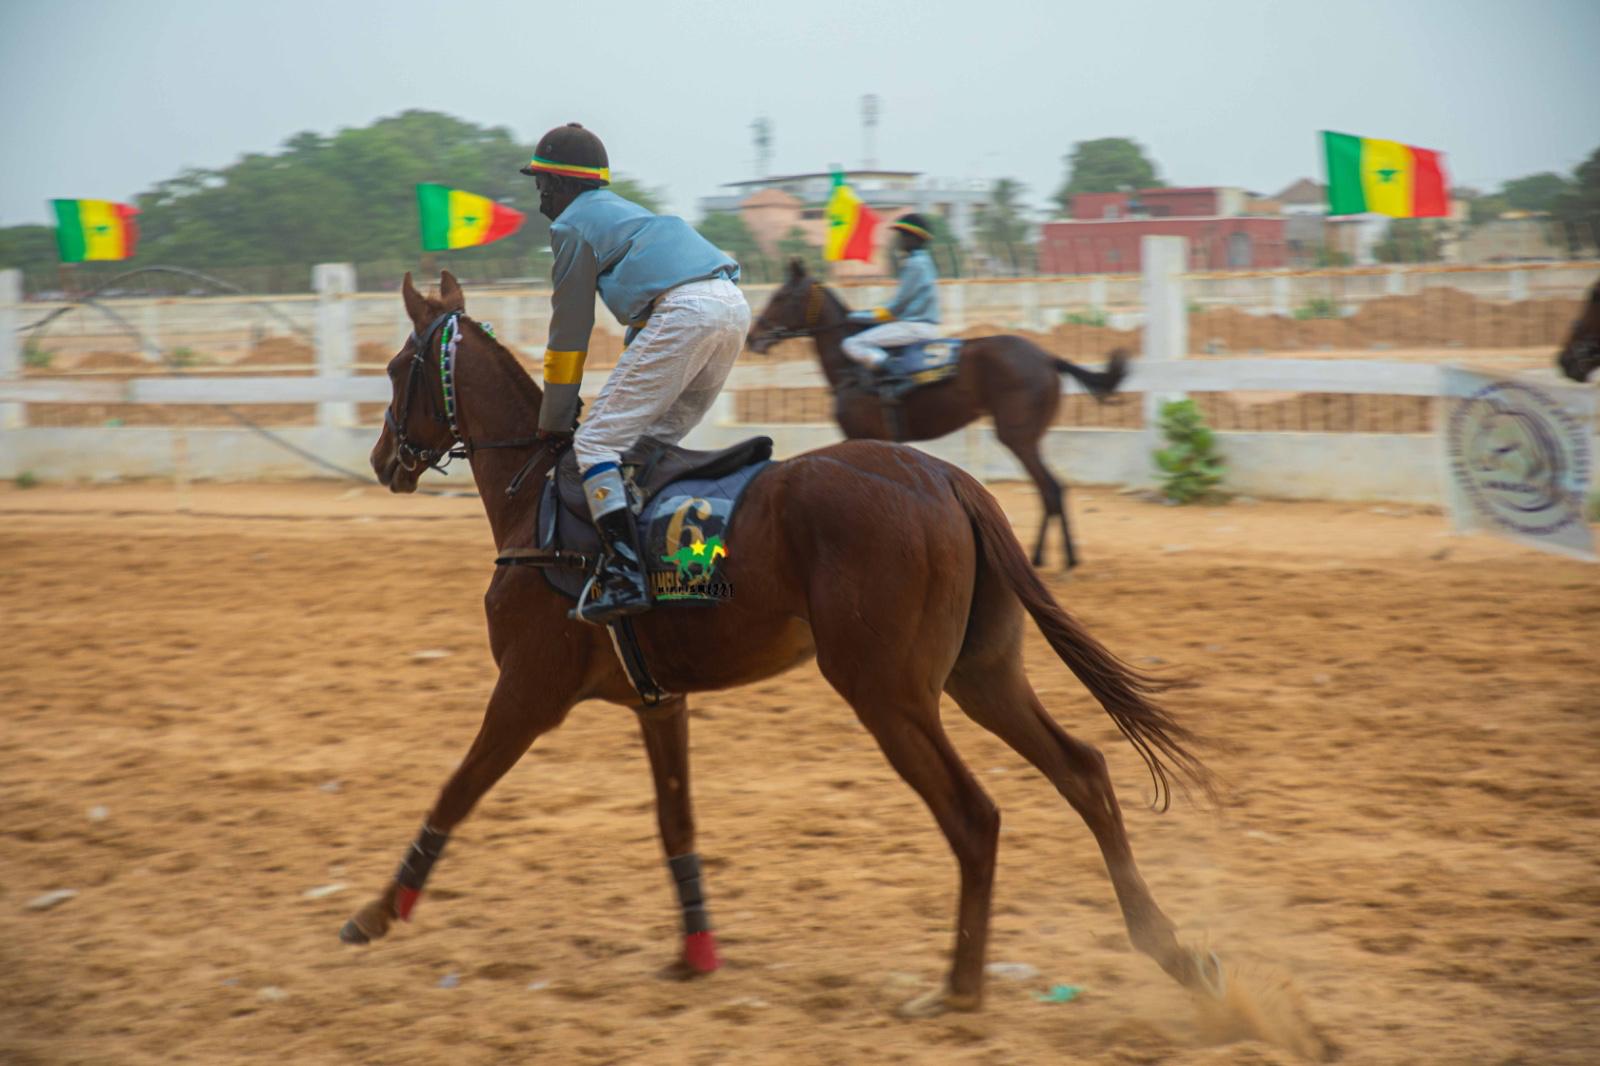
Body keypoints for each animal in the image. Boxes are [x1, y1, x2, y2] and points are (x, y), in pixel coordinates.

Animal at [746, 259, 1130, 570]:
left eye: (781, 296)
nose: (752, 337)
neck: (852, 367)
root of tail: (1048, 358)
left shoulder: (862, 436)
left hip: (1017, 436)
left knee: (1049, 488)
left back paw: (1046, 560)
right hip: (1028, 437)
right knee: (1054, 489)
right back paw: (1061, 558)